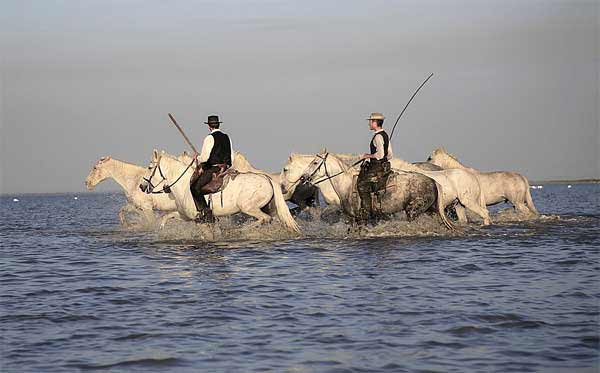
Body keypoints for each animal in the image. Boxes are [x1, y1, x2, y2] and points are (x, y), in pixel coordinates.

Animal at [141, 149, 300, 232]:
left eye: (149, 167)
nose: (142, 187)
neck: (184, 185)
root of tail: (267, 179)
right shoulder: (186, 216)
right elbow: (166, 217)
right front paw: (160, 230)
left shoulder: (201, 220)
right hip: (269, 208)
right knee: (273, 219)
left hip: (248, 207)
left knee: (264, 219)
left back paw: (242, 231)